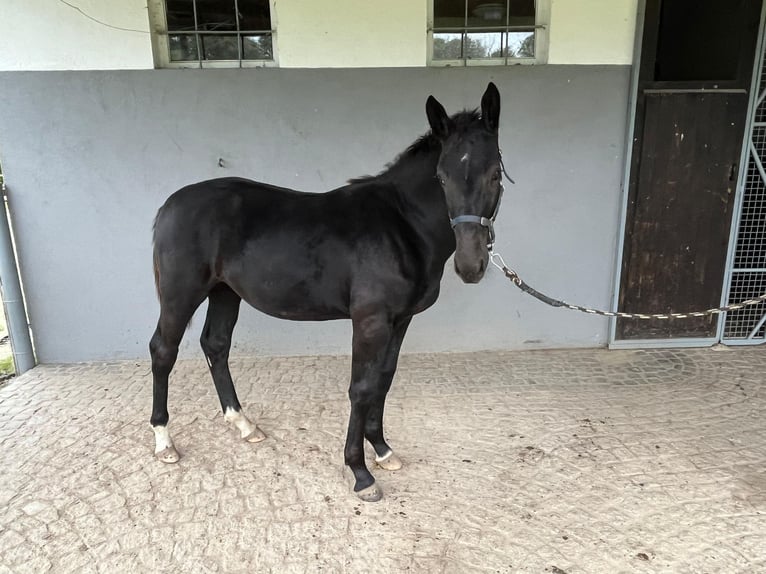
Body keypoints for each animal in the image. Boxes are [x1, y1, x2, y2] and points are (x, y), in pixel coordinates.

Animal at [152, 82, 508, 504]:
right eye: (441, 177)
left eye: (494, 174)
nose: (471, 265)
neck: (402, 224)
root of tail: (169, 206)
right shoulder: (370, 321)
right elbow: (362, 387)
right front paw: (360, 473)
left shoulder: (399, 320)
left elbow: (384, 379)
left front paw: (382, 450)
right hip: (181, 295)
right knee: (163, 351)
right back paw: (164, 442)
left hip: (225, 292)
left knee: (215, 345)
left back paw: (244, 425)